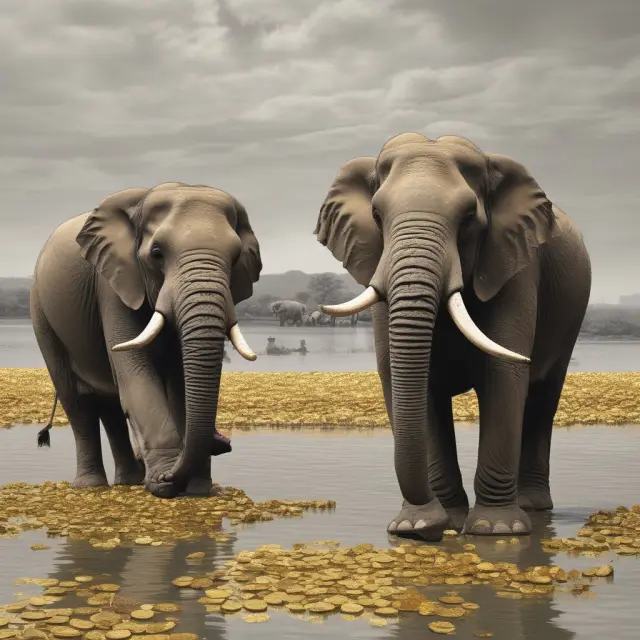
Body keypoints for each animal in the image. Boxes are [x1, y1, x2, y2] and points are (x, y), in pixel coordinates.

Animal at [30, 182, 262, 499]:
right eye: (157, 254)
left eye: (236, 257)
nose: (223, 442)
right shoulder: (112, 283)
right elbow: (136, 373)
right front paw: (164, 485)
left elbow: (179, 382)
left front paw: (197, 488)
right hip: (42, 315)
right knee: (77, 402)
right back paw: (91, 486)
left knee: (111, 407)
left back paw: (129, 481)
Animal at [314, 133, 591, 539]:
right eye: (377, 216)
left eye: (468, 219)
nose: (423, 532)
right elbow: (410, 382)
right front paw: (422, 524)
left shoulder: (515, 267)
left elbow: (503, 374)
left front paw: (496, 529)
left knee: (542, 400)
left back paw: (532, 508)